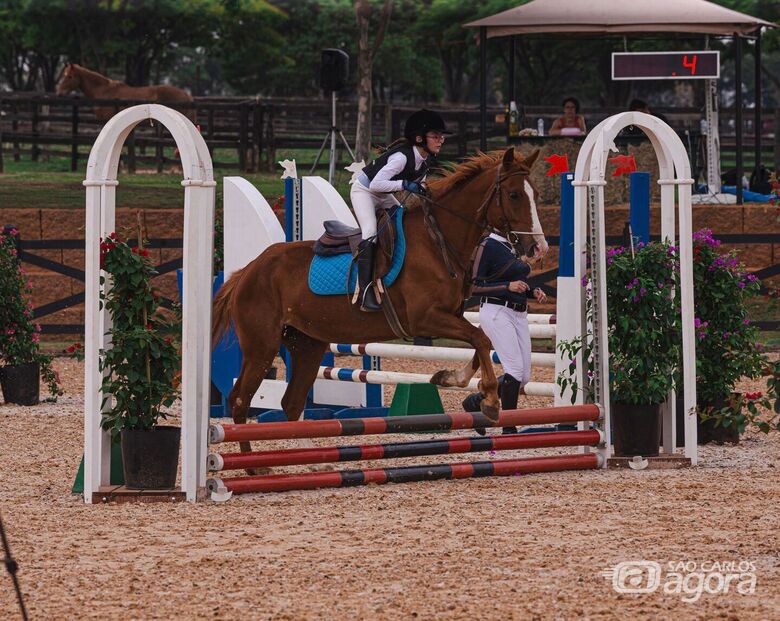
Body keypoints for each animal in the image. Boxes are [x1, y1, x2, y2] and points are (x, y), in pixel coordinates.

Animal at [210, 146, 544, 456]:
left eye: (535, 193)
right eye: (514, 195)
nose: (538, 248)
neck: (438, 241)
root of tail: (248, 270)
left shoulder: (451, 316)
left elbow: (481, 340)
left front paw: (451, 378)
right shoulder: (425, 319)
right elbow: (480, 338)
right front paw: (490, 401)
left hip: (306, 345)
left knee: (291, 402)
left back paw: (313, 459)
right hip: (262, 347)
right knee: (239, 399)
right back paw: (256, 466)